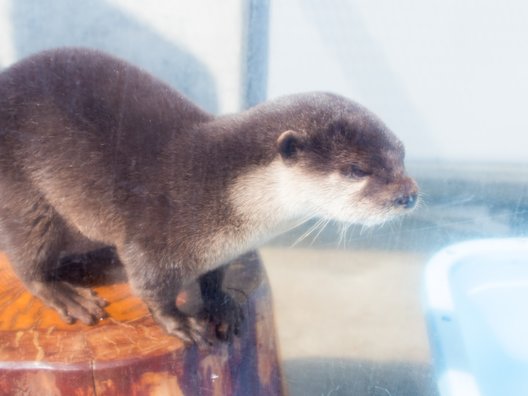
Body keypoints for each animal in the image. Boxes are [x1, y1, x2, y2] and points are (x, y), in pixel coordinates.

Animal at [0, 46, 418, 344]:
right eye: (356, 170)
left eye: (401, 152)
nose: (409, 195)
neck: (217, 189)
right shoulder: (156, 238)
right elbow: (152, 288)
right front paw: (180, 323)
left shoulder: (222, 248)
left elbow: (215, 275)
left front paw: (221, 306)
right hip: (25, 199)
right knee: (27, 257)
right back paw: (65, 294)